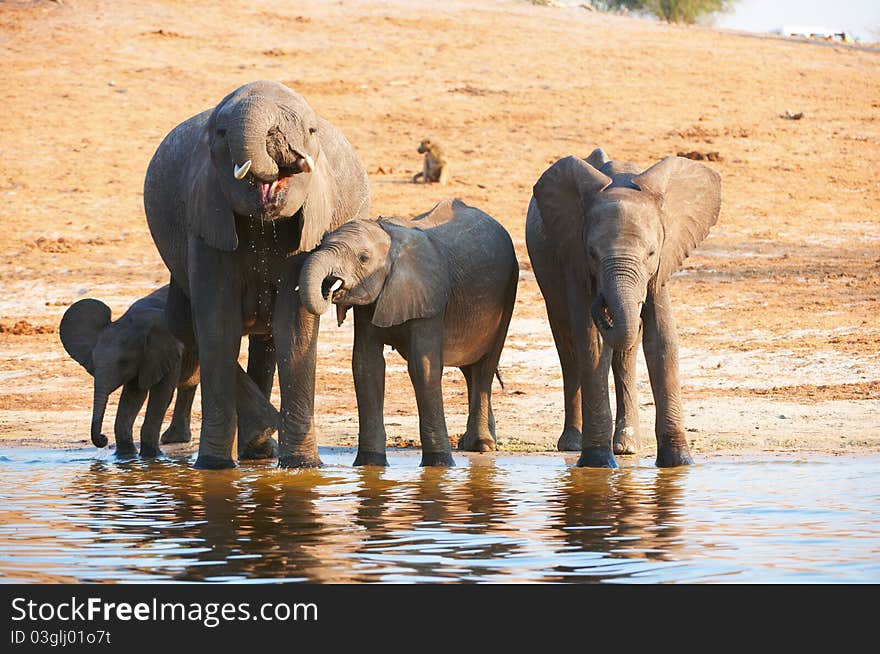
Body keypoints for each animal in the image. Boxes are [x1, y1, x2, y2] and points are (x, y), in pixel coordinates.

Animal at [60, 284, 278, 458]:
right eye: (93, 363)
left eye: (123, 362)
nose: (103, 439)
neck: (132, 322)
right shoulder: (146, 360)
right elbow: (133, 396)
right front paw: (125, 456)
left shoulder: (169, 352)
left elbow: (160, 395)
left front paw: (151, 457)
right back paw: (174, 439)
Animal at [144, 80, 368, 472]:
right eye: (220, 133)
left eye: (310, 131)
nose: (277, 140)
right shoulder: (207, 218)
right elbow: (218, 326)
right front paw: (214, 467)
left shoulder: (308, 230)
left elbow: (294, 327)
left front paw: (302, 467)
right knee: (185, 324)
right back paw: (258, 440)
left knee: (268, 340)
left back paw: (261, 449)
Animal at [300, 199, 516, 466]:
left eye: (363, 258)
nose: (330, 286)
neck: (389, 238)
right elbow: (366, 366)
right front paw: (369, 464)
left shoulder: (429, 299)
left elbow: (423, 367)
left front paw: (439, 464)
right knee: (470, 368)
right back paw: (472, 443)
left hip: (508, 290)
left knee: (485, 366)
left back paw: (481, 445)